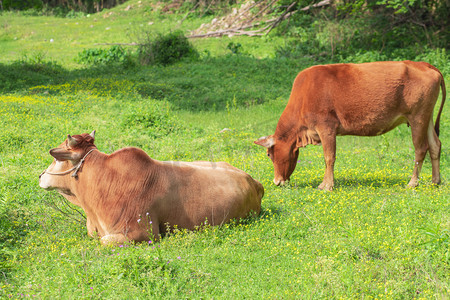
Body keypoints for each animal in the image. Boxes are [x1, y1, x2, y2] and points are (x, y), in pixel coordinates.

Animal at [255, 60, 444, 191]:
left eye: (269, 154)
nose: (277, 181)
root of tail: (423, 64)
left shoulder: (326, 127)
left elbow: (329, 157)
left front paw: (327, 186)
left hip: (417, 117)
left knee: (421, 148)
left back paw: (412, 182)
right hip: (426, 117)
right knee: (435, 145)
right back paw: (435, 180)